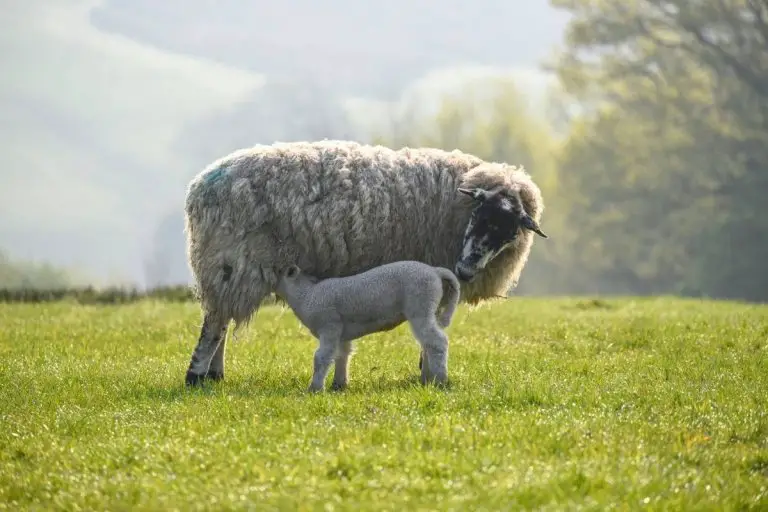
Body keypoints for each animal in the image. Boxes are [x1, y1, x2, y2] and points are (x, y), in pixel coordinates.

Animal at [274, 260, 461, 391]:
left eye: (278, 271)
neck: (306, 295)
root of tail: (435, 271)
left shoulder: (330, 327)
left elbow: (322, 357)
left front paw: (315, 388)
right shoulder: (341, 333)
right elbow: (343, 355)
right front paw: (339, 385)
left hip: (420, 308)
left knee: (437, 342)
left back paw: (441, 380)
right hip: (428, 310)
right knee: (428, 344)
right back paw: (430, 378)